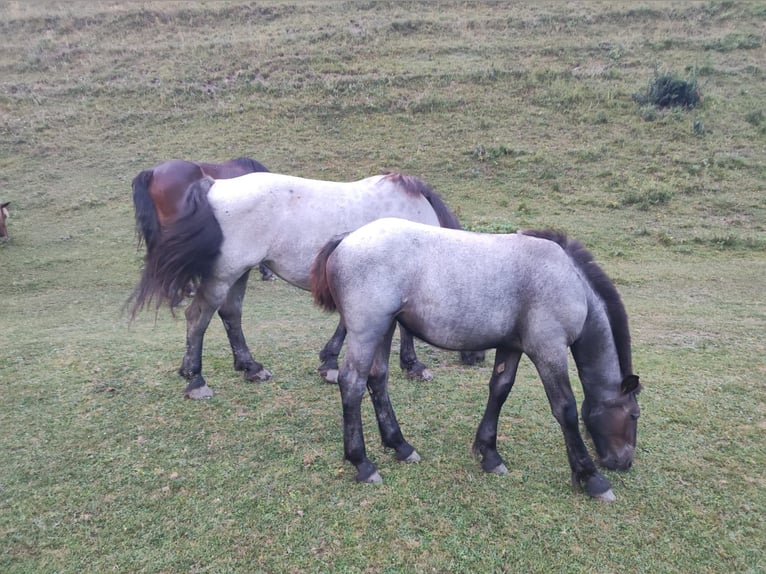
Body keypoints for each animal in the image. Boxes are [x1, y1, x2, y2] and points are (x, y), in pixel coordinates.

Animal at [130, 171, 484, 400]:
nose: (478, 358)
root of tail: (213, 185)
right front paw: (413, 366)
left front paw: (328, 362)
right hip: (223, 274)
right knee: (198, 318)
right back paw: (196, 379)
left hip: (238, 272)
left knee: (231, 315)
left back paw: (250, 367)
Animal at [312, 218, 640, 502]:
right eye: (634, 415)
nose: (624, 463)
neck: (568, 279)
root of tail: (347, 238)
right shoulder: (549, 350)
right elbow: (565, 409)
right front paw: (591, 477)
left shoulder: (511, 347)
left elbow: (500, 390)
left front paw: (489, 454)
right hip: (367, 331)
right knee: (352, 383)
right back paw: (362, 463)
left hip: (385, 328)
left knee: (377, 380)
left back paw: (400, 446)